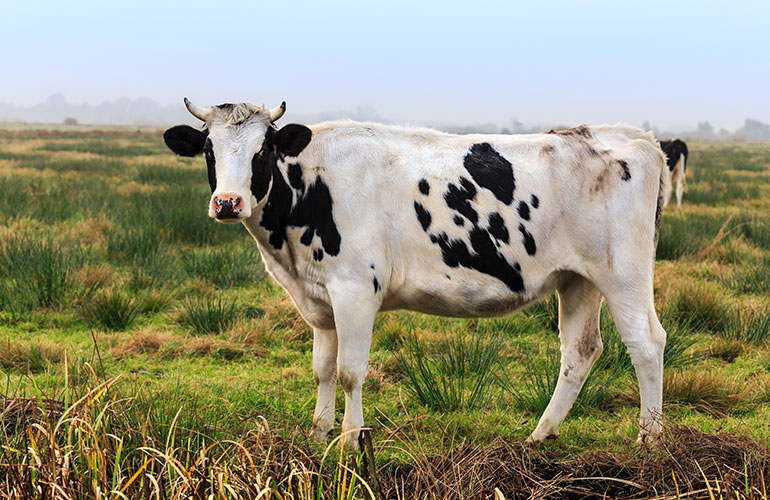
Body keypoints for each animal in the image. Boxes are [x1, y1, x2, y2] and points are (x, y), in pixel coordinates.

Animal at [163, 99, 670, 449]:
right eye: (208, 149)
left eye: (263, 149)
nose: (228, 203)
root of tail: (632, 136)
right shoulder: (320, 298)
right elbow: (322, 369)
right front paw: (318, 434)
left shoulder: (355, 290)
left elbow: (350, 371)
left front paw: (350, 440)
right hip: (577, 278)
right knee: (580, 351)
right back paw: (541, 434)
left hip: (623, 273)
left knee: (645, 343)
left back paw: (650, 438)